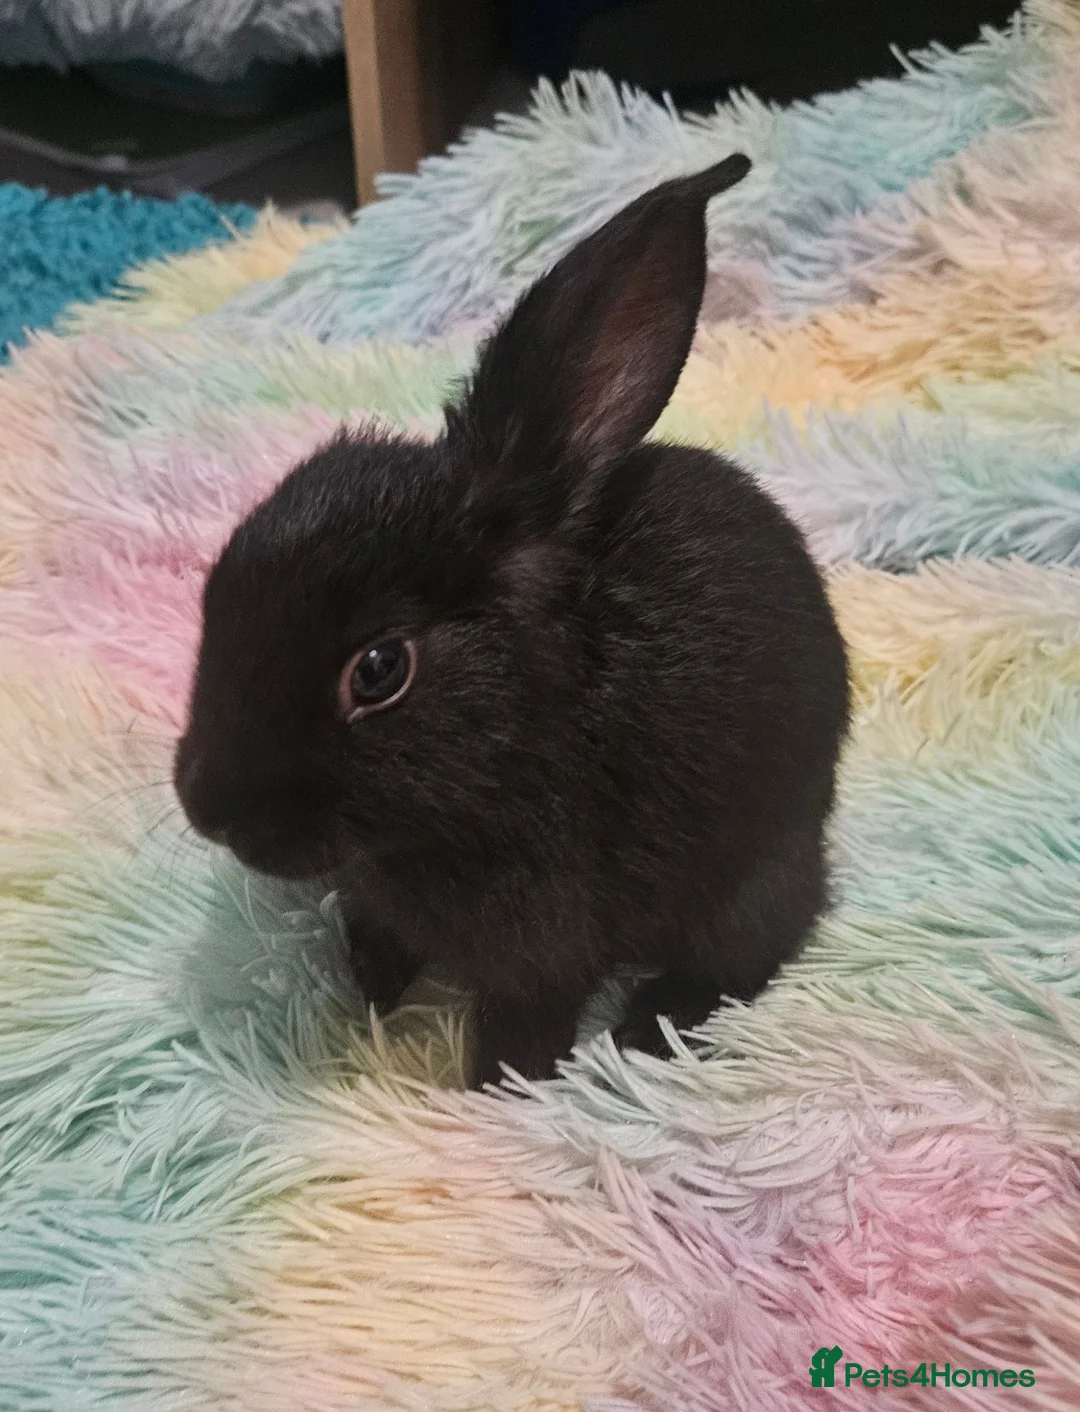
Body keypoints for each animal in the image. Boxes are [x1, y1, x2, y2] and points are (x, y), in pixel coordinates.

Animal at [174, 153, 850, 1088]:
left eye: (379, 671)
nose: (206, 804)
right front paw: (370, 994)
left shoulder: (545, 945)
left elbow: (527, 1022)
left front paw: (496, 1090)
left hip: (756, 873)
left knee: (759, 946)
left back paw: (649, 1029)